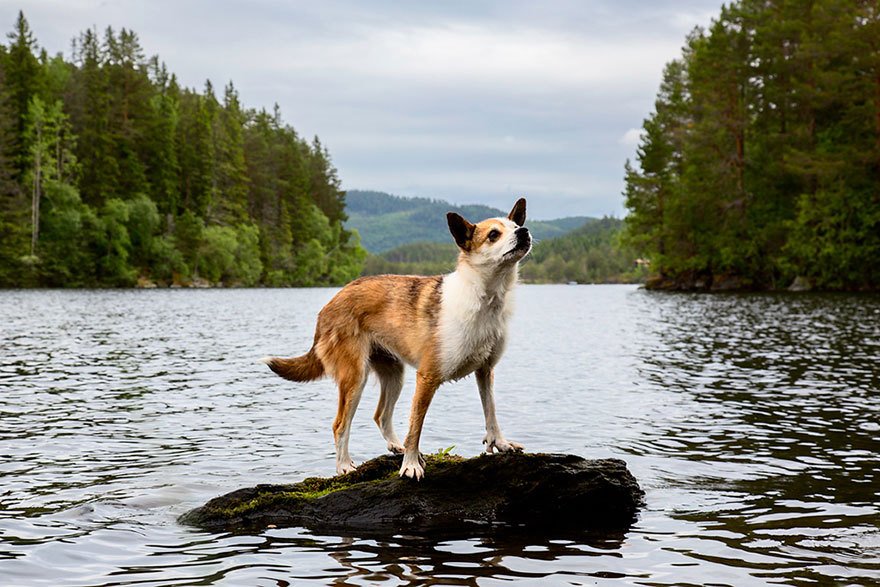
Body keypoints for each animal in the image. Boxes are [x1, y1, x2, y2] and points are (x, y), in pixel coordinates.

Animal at [262, 200, 532, 480]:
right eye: (493, 235)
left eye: (515, 226)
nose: (524, 232)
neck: (484, 298)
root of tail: (329, 305)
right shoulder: (427, 377)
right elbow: (415, 427)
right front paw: (411, 465)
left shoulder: (485, 371)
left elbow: (491, 413)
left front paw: (500, 443)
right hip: (354, 377)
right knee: (340, 424)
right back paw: (345, 465)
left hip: (394, 373)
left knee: (380, 415)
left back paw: (395, 446)